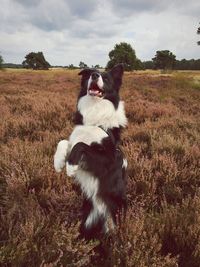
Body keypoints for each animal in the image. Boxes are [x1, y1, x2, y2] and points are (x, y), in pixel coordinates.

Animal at [54, 63, 127, 240]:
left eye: (105, 78)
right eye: (90, 74)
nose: (95, 75)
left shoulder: (108, 159)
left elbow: (81, 145)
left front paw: (70, 167)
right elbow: (64, 141)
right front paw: (58, 162)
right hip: (87, 219)